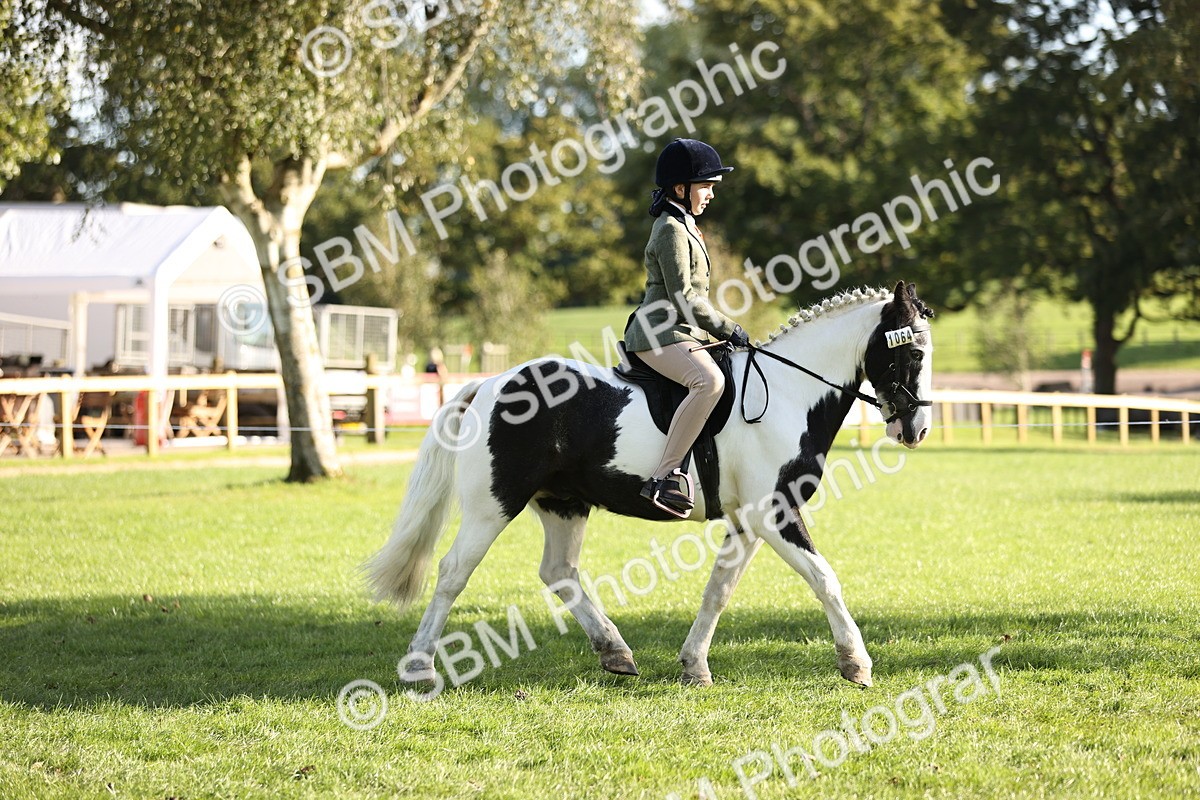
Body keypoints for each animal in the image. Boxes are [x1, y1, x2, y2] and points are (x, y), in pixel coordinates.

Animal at [367, 281, 934, 688]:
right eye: (914, 354)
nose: (917, 430)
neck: (790, 391)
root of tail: (490, 383)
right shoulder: (774, 513)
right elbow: (824, 578)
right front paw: (856, 663)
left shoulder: (749, 520)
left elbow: (718, 590)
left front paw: (694, 666)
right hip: (493, 506)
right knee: (452, 573)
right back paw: (420, 667)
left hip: (564, 503)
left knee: (559, 572)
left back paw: (615, 653)